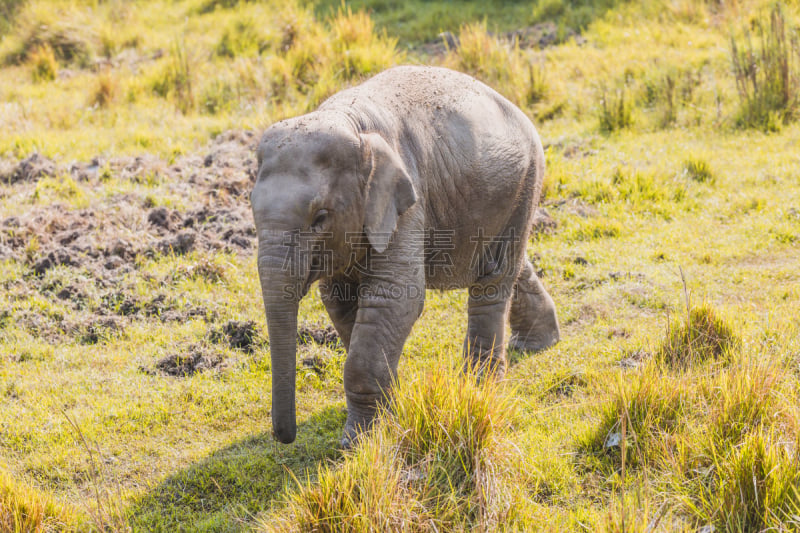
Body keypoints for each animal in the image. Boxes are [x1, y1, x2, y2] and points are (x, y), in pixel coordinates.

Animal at [253, 64, 560, 444]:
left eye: (320, 217)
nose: (286, 437)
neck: (349, 122)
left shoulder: (407, 201)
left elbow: (397, 297)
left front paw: (357, 442)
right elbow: (340, 301)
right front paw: (390, 406)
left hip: (525, 181)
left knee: (493, 280)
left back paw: (479, 386)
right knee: (511, 266)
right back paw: (536, 344)